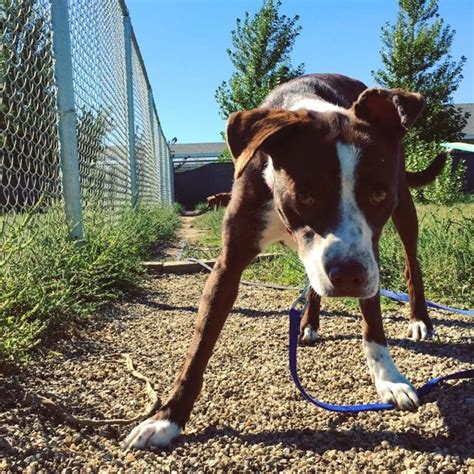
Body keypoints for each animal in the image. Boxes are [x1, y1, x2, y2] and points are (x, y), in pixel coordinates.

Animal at [124, 73, 446, 448]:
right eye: (305, 197)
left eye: (378, 194)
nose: (347, 277)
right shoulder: (227, 265)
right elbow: (199, 346)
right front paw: (167, 418)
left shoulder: (369, 251)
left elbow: (373, 322)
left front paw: (389, 379)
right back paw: (308, 322)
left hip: (403, 209)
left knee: (412, 262)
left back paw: (419, 318)